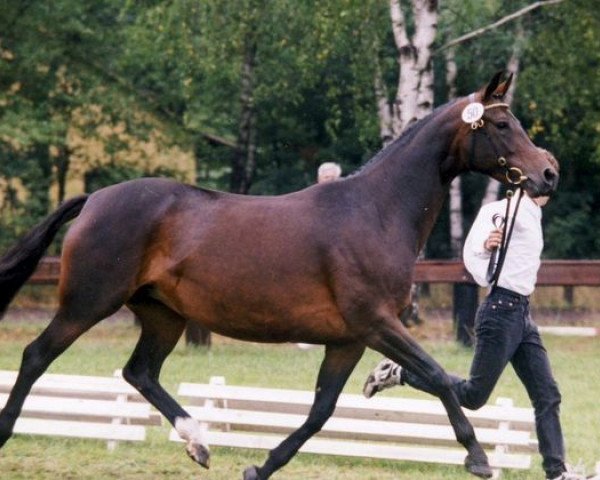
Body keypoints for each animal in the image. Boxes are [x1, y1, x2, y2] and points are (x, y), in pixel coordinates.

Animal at [0, 73, 556, 478]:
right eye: (501, 126)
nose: (548, 173)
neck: (376, 211)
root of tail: (94, 198)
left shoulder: (349, 339)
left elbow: (321, 410)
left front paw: (260, 466)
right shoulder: (377, 324)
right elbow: (439, 375)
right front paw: (477, 458)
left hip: (163, 316)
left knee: (139, 372)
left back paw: (199, 443)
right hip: (88, 303)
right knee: (36, 355)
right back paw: (8, 432)